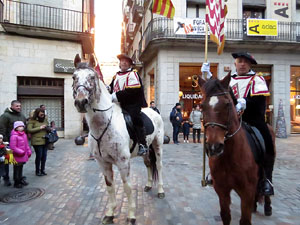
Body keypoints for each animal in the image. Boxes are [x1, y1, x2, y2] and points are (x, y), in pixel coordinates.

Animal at [72, 55, 165, 225]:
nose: (81, 102)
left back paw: (161, 190)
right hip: (145, 150)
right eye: (74, 77)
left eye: (92, 77)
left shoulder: (123, 162)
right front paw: (110, 213)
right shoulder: (103, 163)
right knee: (149, 164)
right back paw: (148, 185)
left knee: (160, 166)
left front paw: (131, 216)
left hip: (157, 145)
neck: (104, 125)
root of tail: (154, 111)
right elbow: (110, 187)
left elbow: (127, 187)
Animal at [198, 72, 276, 225]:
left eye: (227, 104)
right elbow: (225, 216)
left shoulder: (246, 191)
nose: (214, 146)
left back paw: (268, 205)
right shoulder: (222, 189)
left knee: (268, 174)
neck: (230, 156)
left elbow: (245, 220)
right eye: (202, 106)